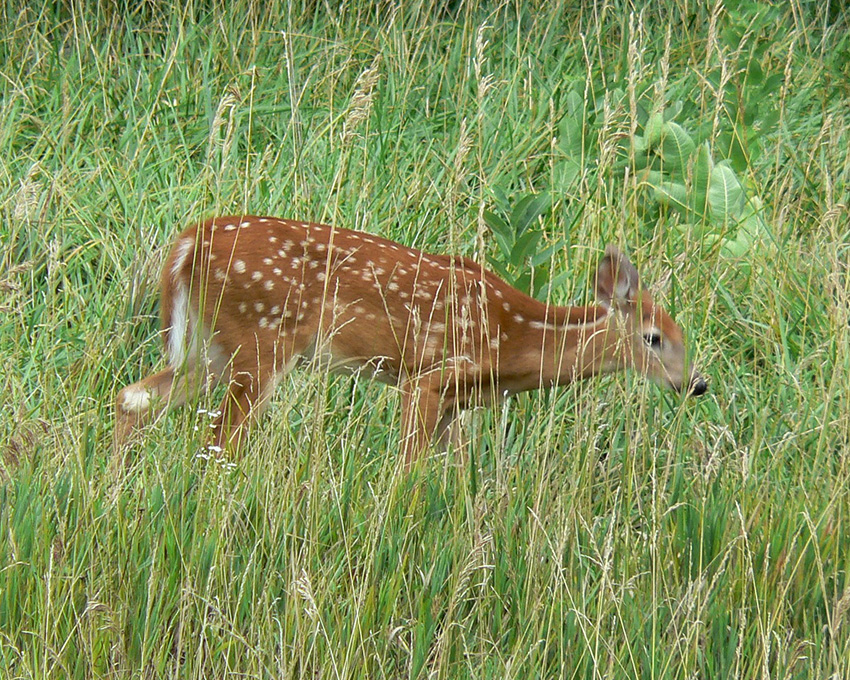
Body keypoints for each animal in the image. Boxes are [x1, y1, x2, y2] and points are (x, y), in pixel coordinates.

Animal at [114, 218, 708, 468]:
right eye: (656, 338)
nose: (698, 384)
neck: (513, 340)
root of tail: (188, 242)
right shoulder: (429, 379)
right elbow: (409, 469)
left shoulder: (457, 404)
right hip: (261, 338)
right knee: (220, 436)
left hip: (212, 348)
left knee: (135, 396)